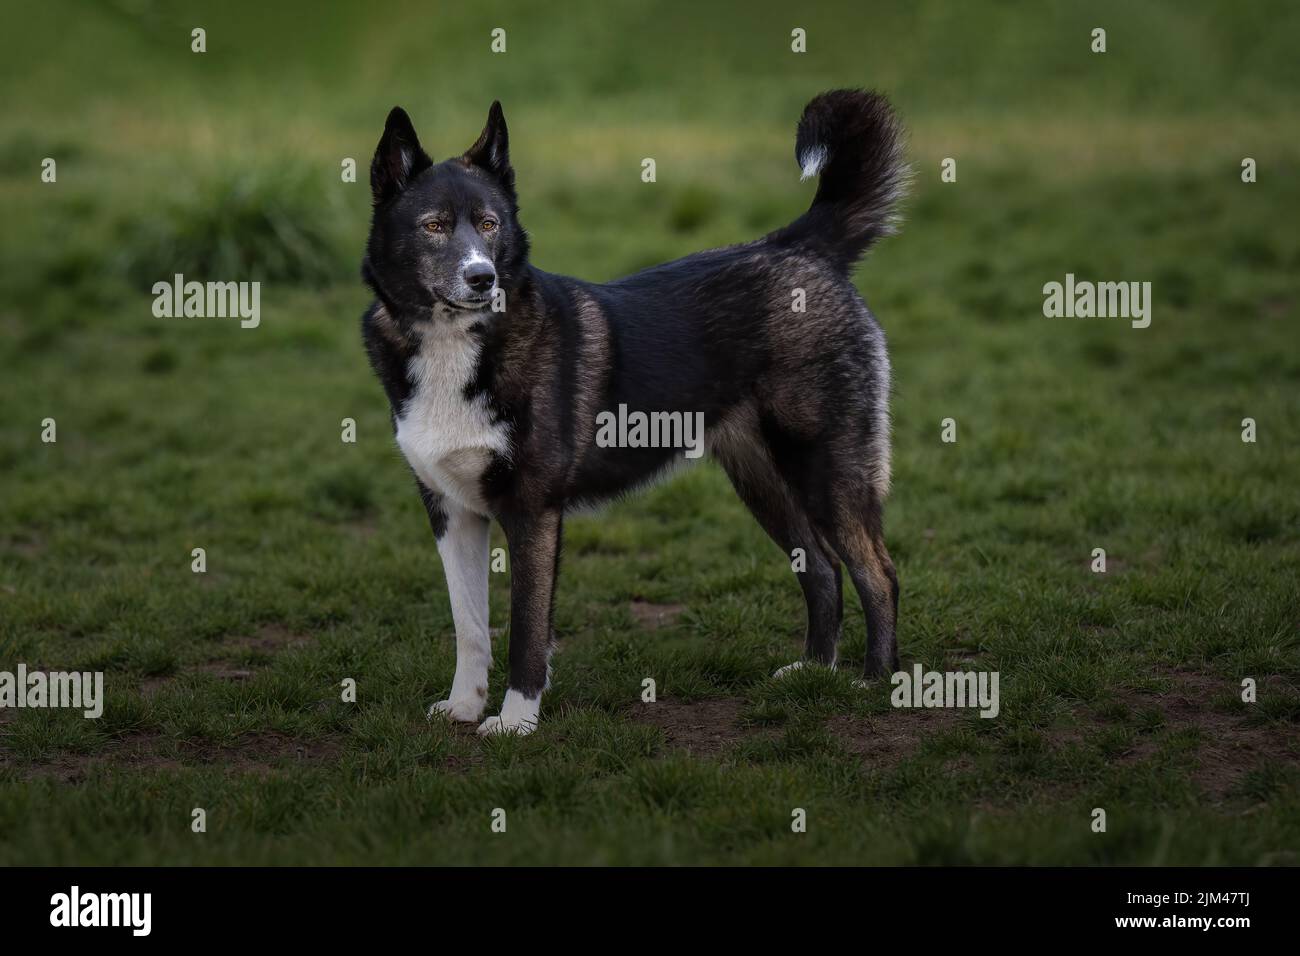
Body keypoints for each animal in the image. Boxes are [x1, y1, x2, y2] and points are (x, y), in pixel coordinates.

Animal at [361, 89, 909, 738]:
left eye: (489, 224)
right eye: (434, 226)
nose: (482, 278)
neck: (457, 344)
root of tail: (799, 247)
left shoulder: (532, 511)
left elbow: (525, 629)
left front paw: (516, 720)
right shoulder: (451, 513)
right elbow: (469, 627)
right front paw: (465, 707)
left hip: (828, 470)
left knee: (878, 573)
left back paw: (873, 684)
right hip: (763, 481)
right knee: (823, 568)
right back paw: (814, 671)